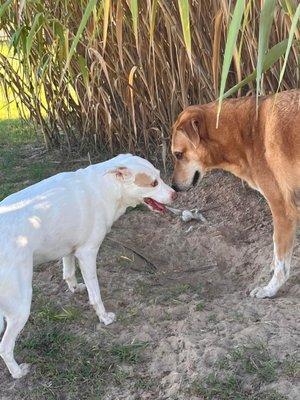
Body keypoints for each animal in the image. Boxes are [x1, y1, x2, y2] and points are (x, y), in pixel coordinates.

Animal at [0, 153, 176, 378]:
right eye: (153, 183)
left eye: (160, 176)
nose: (175, 195)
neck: (106, 187)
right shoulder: (87, 253)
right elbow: (96, 294)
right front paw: (104, 318)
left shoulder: (69, 247)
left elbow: (68, 271)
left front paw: (74, 288)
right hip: (21, 306)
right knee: (5, 347)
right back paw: (18, 372)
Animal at [171, 90, 300, 296]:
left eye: (178, 155)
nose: (173, 186)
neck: (248, 133)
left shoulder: (283, 210)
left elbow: (281, 258)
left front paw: (270, 289)